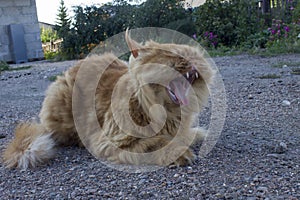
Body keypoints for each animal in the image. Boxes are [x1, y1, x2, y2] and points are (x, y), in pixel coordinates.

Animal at [1, 29, 213, 169]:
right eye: (172, 55)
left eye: (194, 54)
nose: (194, 61)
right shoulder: (113, 140)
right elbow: (157, 142)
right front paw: (181, 152)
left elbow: (186, 134)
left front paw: (196, 134)